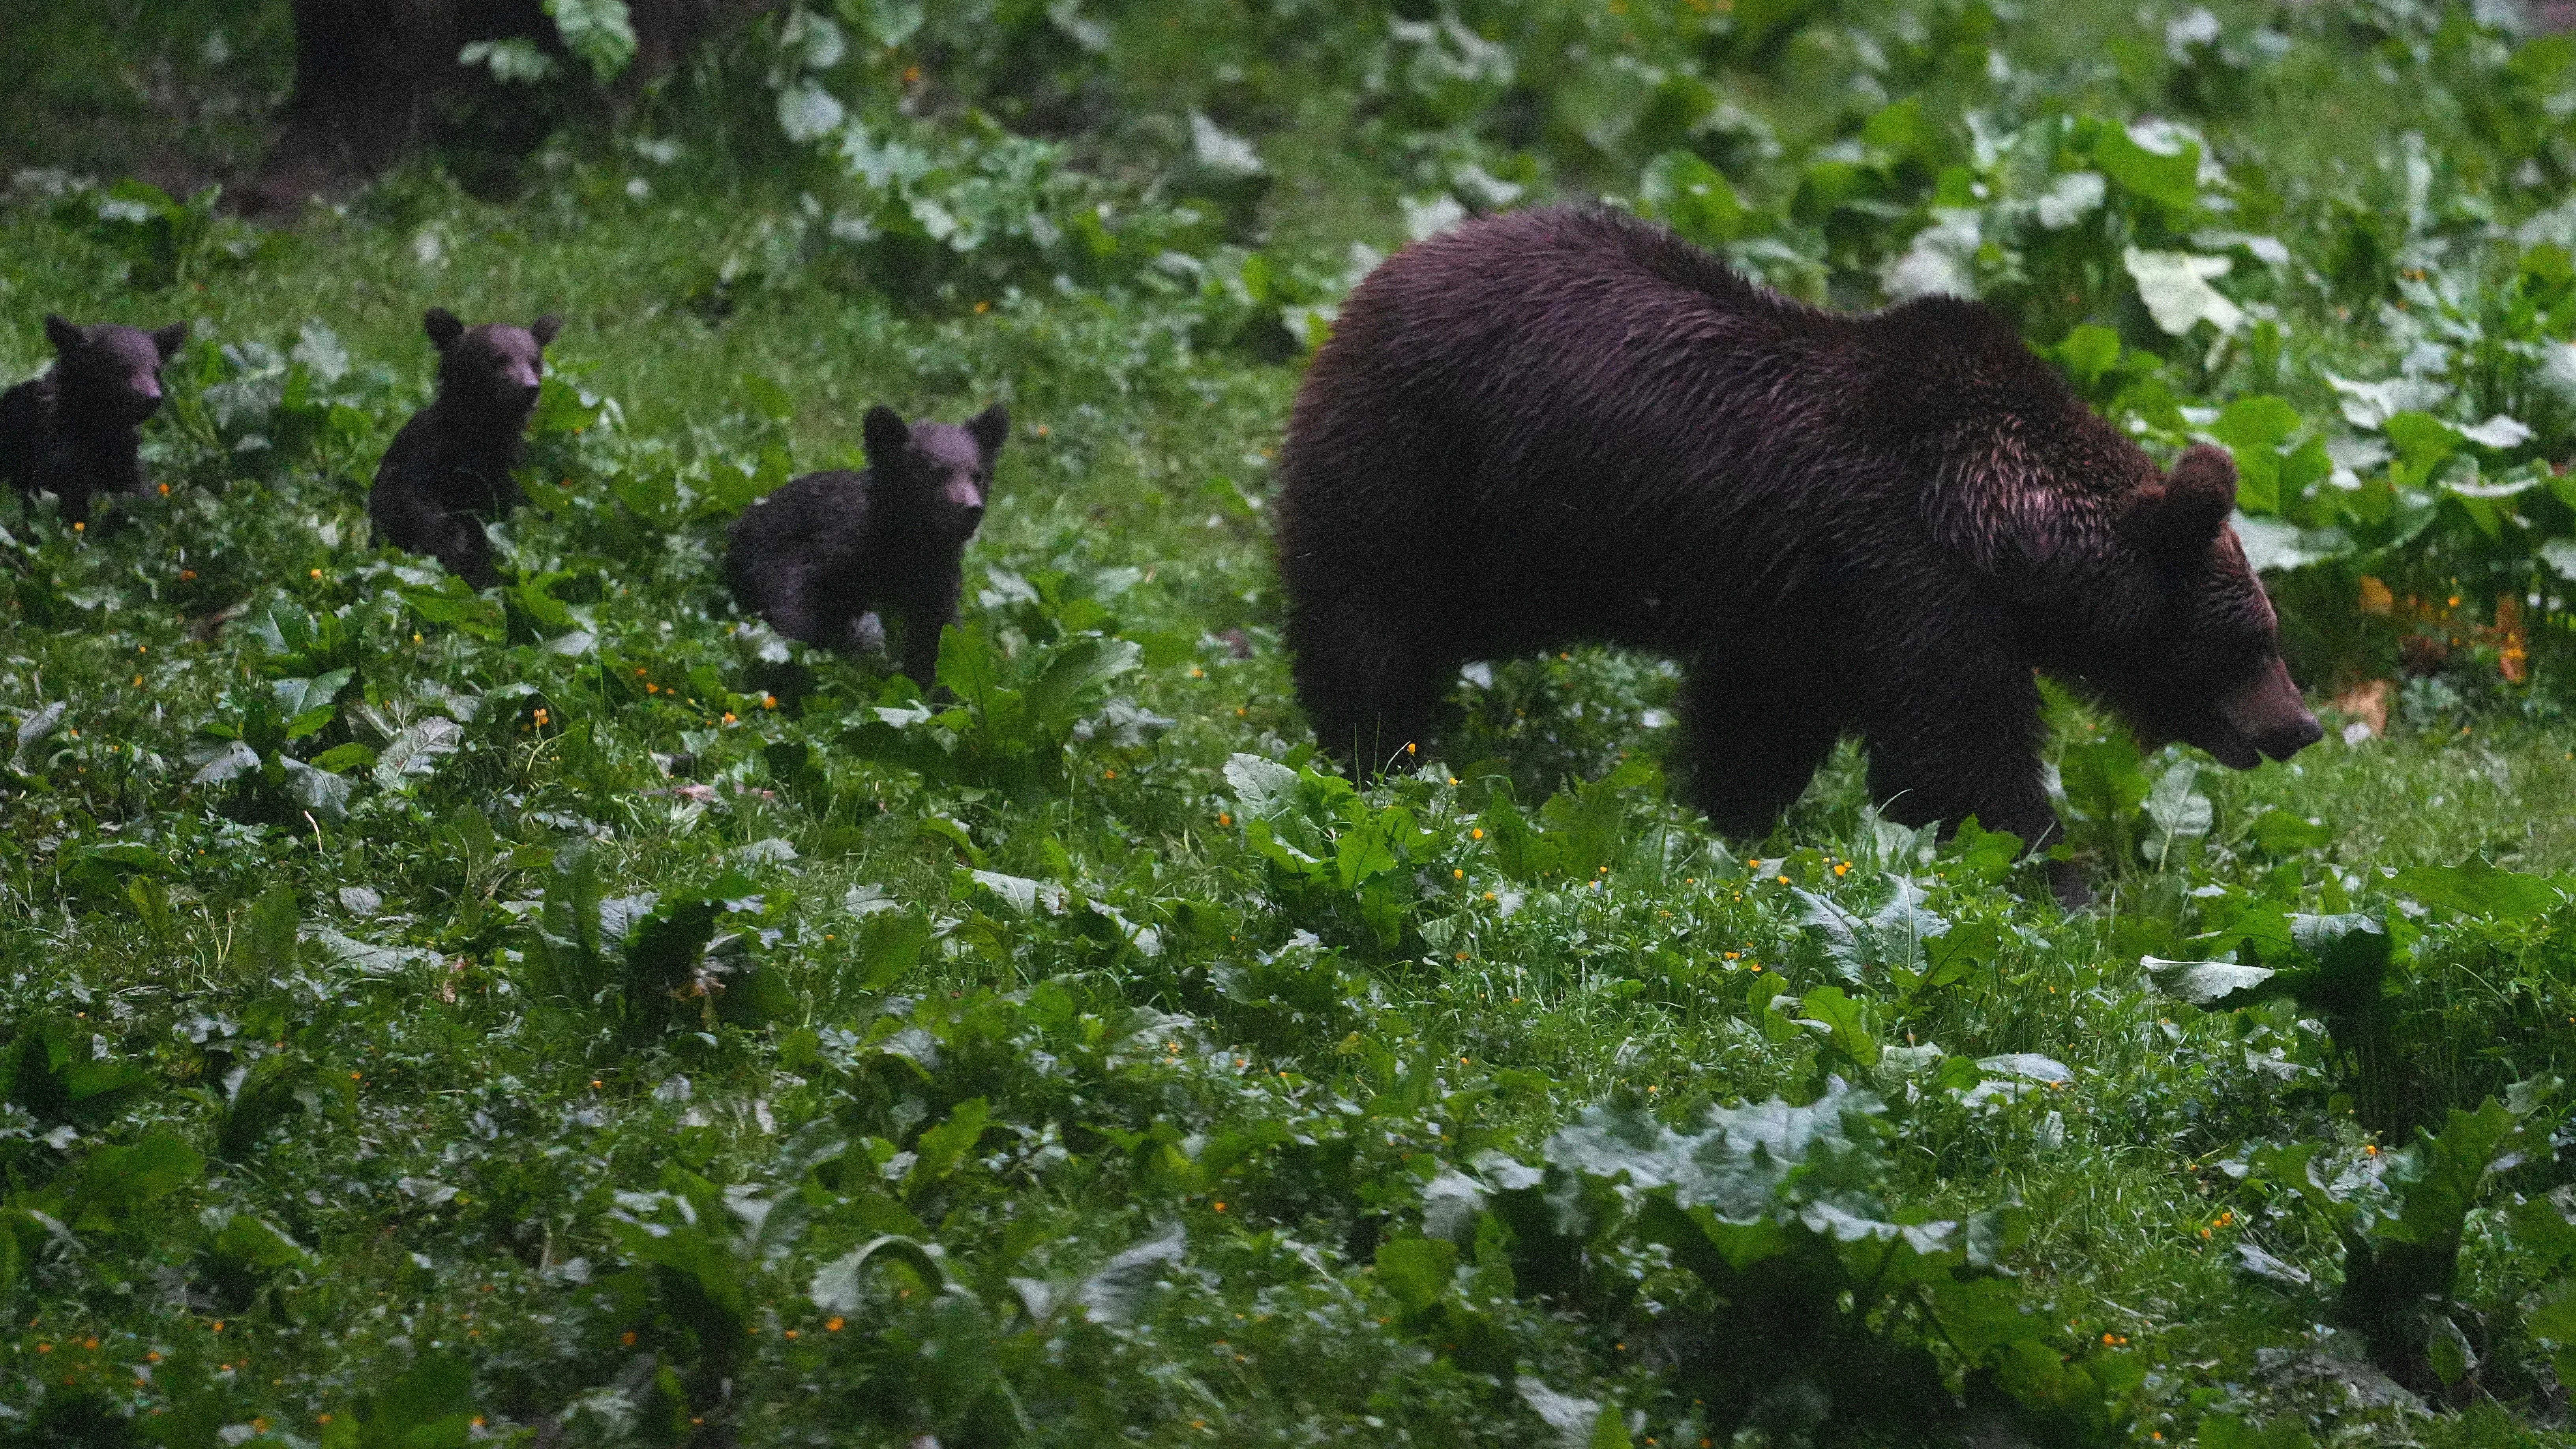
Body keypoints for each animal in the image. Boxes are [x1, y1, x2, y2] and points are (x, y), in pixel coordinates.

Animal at [368, 308, 561, 588]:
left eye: (535, 362)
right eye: (498, 359)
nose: (530, 389)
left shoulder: (504, 475)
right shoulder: (423, 454)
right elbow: (405, 500)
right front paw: (454, 542)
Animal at [725, 404, 1008, 688]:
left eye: (977, 475)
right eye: (935, 473)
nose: (971, 510)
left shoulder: (933, 581)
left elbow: (936, 639)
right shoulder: (809, 549)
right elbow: (787, 600)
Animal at [1272, 206, 2321, 906]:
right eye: (2251, 639)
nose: (2301, 726)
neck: (2002, 539)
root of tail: (1375, 277)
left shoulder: (1812, 611)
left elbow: (1759, 725)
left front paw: (1733, 820)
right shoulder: (1909, 578)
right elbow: (1958, 758)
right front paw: (2058, 881)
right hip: (1424, 453)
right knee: (1369, 614)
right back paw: (1378, 752)